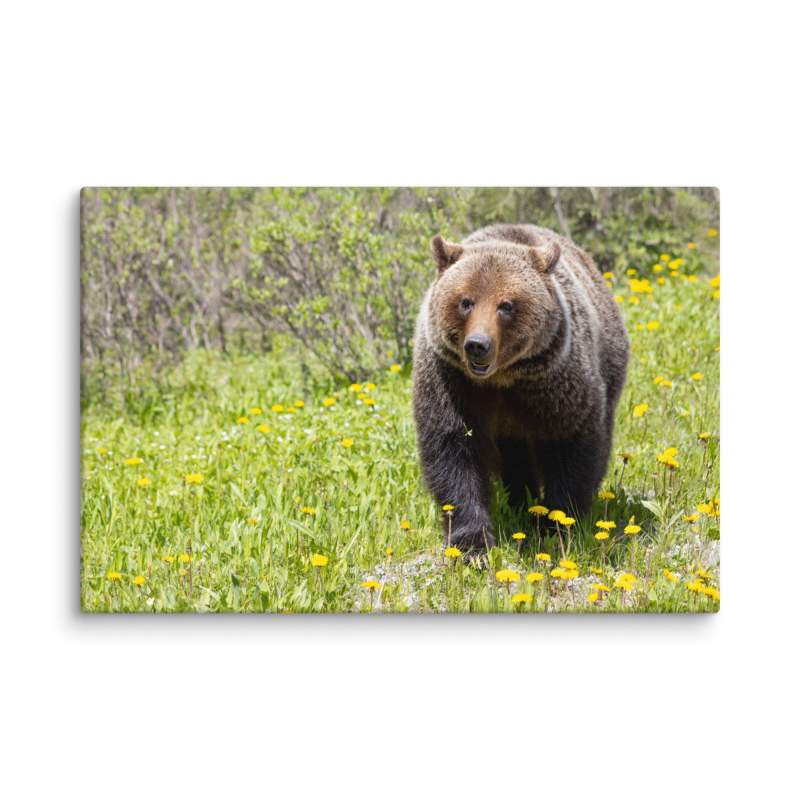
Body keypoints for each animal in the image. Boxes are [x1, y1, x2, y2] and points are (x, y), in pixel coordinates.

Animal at [412, 223, 629, 555]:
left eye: (506, 304)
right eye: (466, 301)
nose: (477, 345)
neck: (502, 378)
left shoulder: (554, 383)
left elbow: (569, 443)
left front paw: (556, 524)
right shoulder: (452, 380)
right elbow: (455, 449)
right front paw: (472, 542)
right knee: (515, 457)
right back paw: (519, 500)